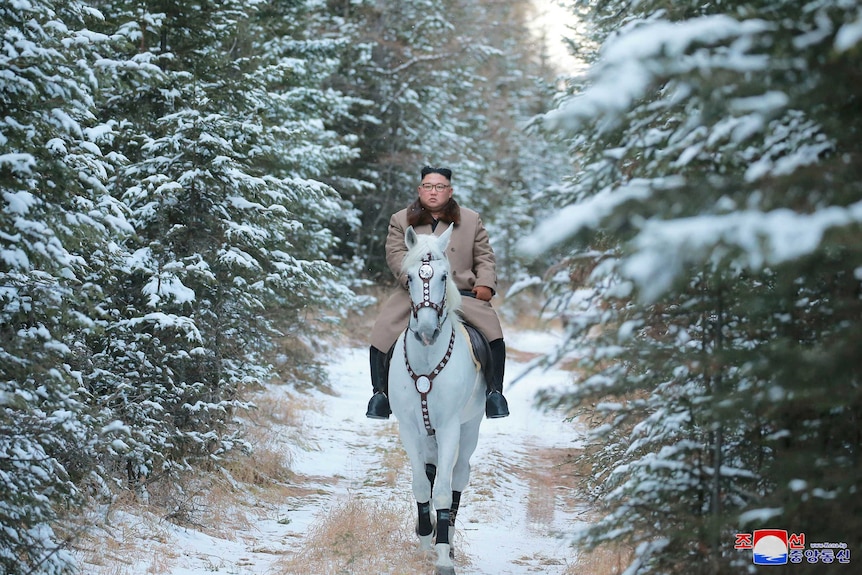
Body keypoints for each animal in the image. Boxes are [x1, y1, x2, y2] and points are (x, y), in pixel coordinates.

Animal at [390, 225, 490, 575]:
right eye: (408, 277)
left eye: (444, 276)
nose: (426, 331)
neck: (426, 359)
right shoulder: (408, 428)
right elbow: (422, 485)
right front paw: (424, 541)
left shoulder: (449, 428)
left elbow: (445, 492)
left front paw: (443, 554)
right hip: (426, 432)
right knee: (431, 472)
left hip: (470, 428)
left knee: (458, 476)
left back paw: (449, 536)